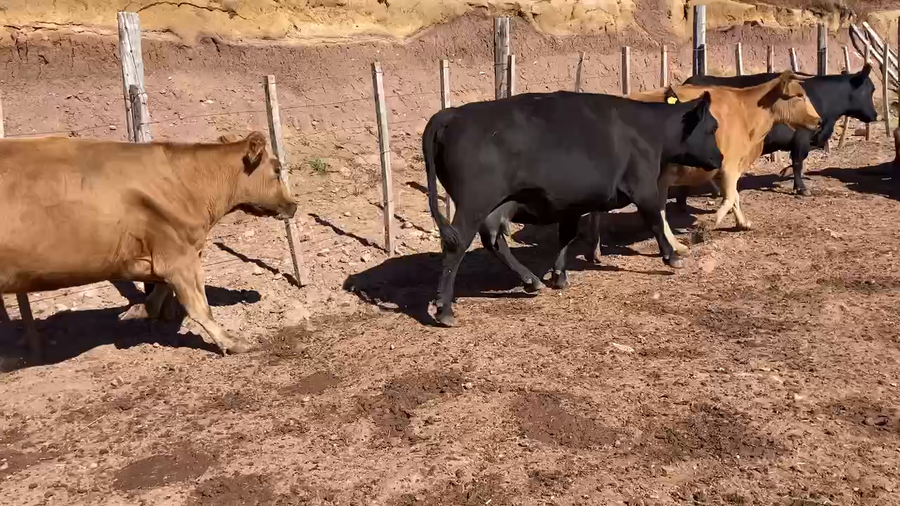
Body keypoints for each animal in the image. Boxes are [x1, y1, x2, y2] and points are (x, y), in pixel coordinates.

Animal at [0, 131, 297, 359]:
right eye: (277, 169)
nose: (293, 205)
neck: (188, 186)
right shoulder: (179, 253)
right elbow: (199, 306)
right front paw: (232, 342)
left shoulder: (166, 252)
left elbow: (161, 289)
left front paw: (137, 311)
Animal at [423, 90, 724, 326]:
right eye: (712, 128)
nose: (719, 157)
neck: (648, 130)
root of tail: (451, 114)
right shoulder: (643, 188)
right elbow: (656, 221)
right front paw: (671, 256)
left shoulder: (571, 203)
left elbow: (566, 237)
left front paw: (559, 275)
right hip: (473, 204)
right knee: (457, 246)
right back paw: (444, 309)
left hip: (498, 204)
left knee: (493, 239)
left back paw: (530, 280)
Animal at [586, 70, 822, 262]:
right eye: (799, 95)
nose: (819, 121)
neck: (746, 111)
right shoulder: (729, 166)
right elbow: (730, 197)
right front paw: (707, 225)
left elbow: (735, 197)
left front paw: (742, 223)